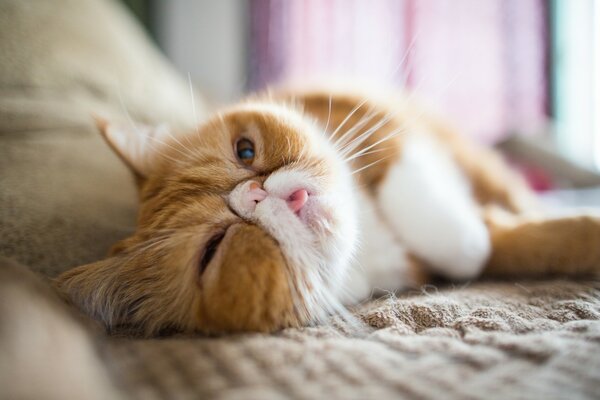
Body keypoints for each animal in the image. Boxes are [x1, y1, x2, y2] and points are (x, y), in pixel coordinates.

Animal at [55, 89, 600, 336]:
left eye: (245, 151)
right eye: (213, 250)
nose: (258, 196)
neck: (370, 244)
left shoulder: (374, 116)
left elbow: (450, 228)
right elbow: (508, 247)